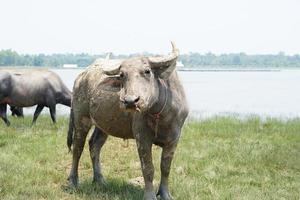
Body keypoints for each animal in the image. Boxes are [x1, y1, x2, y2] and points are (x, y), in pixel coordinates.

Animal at [67, 42, 189, 200]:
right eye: (122, 75)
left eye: (147, 71)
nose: (130, 101)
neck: (160, 115)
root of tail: (81, 77)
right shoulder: (142, 137)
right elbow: (148, 168)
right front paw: (149, 195)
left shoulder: (174, 139)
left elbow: (165, 168)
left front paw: (165, 194)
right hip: (81, 118)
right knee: (77, 148)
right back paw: (73, 182)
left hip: (103, 125)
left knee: (94, 145)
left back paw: (100, 180)